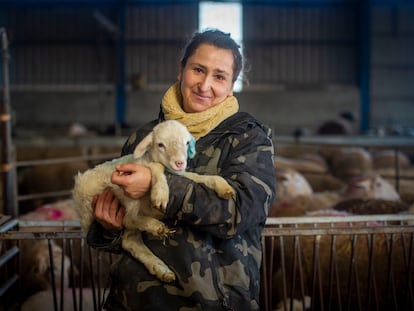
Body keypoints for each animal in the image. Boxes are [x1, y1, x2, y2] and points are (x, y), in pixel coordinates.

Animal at [72, 120, 234, 286]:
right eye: (160, 144)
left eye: (187, 142)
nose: (180, 163)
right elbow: (158, 167)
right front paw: (161, 194)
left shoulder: (181, 175)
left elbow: (198, 177)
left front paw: (223, 187)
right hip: (112, 195)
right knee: (128, 219)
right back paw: (156, 226)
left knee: (130, 239)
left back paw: (161, 268)